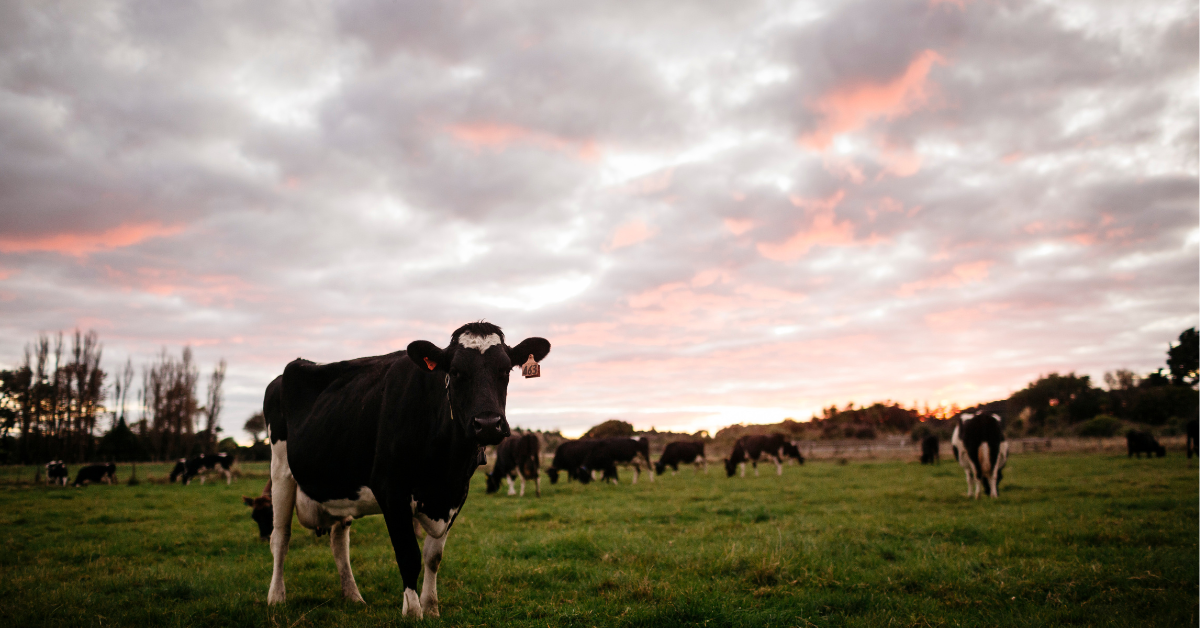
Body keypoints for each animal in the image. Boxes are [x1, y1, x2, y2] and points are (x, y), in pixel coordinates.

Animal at [262, 319, 549, 619]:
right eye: (455, 371)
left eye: (505, 370)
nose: (489, 424)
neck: (445, 468)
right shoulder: (391, 489)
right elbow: (408, 554)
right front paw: (412, 611)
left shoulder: (456, 494)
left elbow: (433, 556)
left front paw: (431, 607)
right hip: (281, 471)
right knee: (280, 537)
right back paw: (276, 597)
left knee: (339, 541)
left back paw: (353, 596)